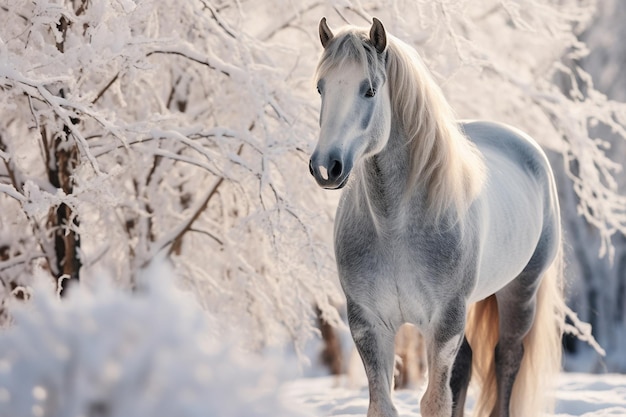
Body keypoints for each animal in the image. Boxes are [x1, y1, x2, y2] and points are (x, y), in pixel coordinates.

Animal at [308, 17, 564, 416]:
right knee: (467, 363)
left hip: (520, 291)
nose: (325, 166)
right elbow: (384, 403)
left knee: (506, 359)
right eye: (321, 86)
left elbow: (435, 401)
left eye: (369, 90)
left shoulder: (443, 324)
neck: (394, 226)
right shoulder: (368, 324)